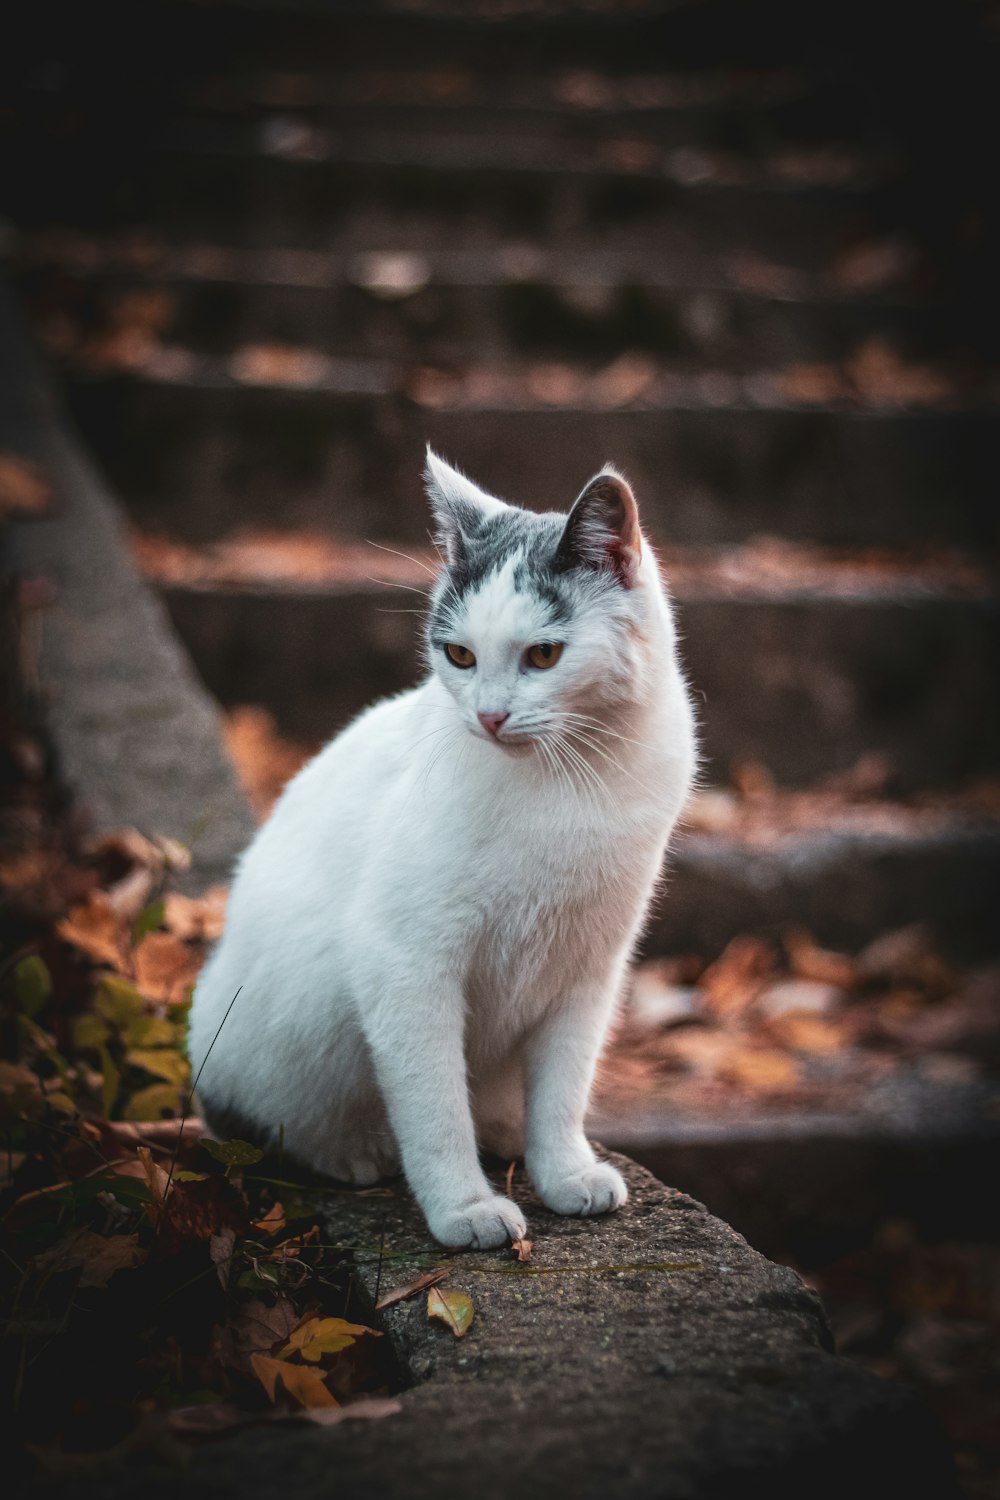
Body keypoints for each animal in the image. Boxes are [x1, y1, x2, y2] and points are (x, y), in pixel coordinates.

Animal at [189, 450, 695, 1248]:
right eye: (458, 654)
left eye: (544, 655)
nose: (488, 716)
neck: (568, 783)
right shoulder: (403, 963)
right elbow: (434, 1104)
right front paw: (463, 1208)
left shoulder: (590, 967)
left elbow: (565, 1084)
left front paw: (563, 1170)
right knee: (263, 1121)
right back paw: (353, 1152)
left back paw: (509, 1130)